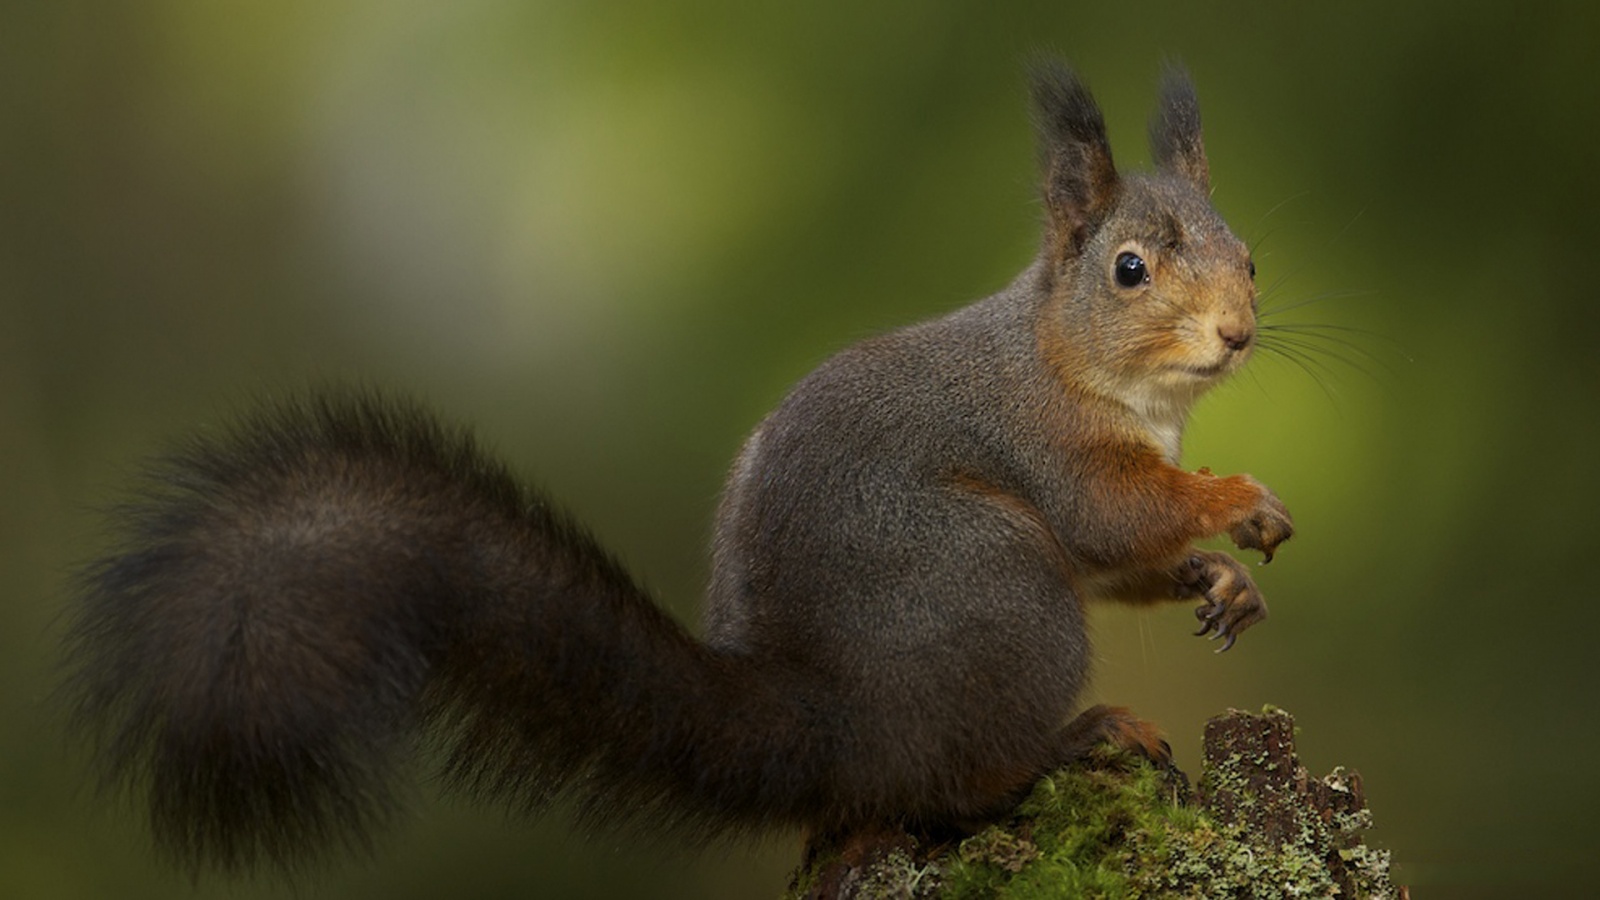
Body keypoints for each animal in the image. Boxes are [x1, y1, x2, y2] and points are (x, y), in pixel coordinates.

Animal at [62, 64, 1286, 877]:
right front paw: (1236, 503)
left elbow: (1131, 558)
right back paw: (1075, 741)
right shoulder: (1046, 445)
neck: (1080, 364)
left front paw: (1221, 578)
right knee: (958, 785)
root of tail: (828, 727)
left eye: (1250, 257)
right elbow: (1112, 518)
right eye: (1128, 271)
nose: (1236, 336)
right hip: (1000, 590)